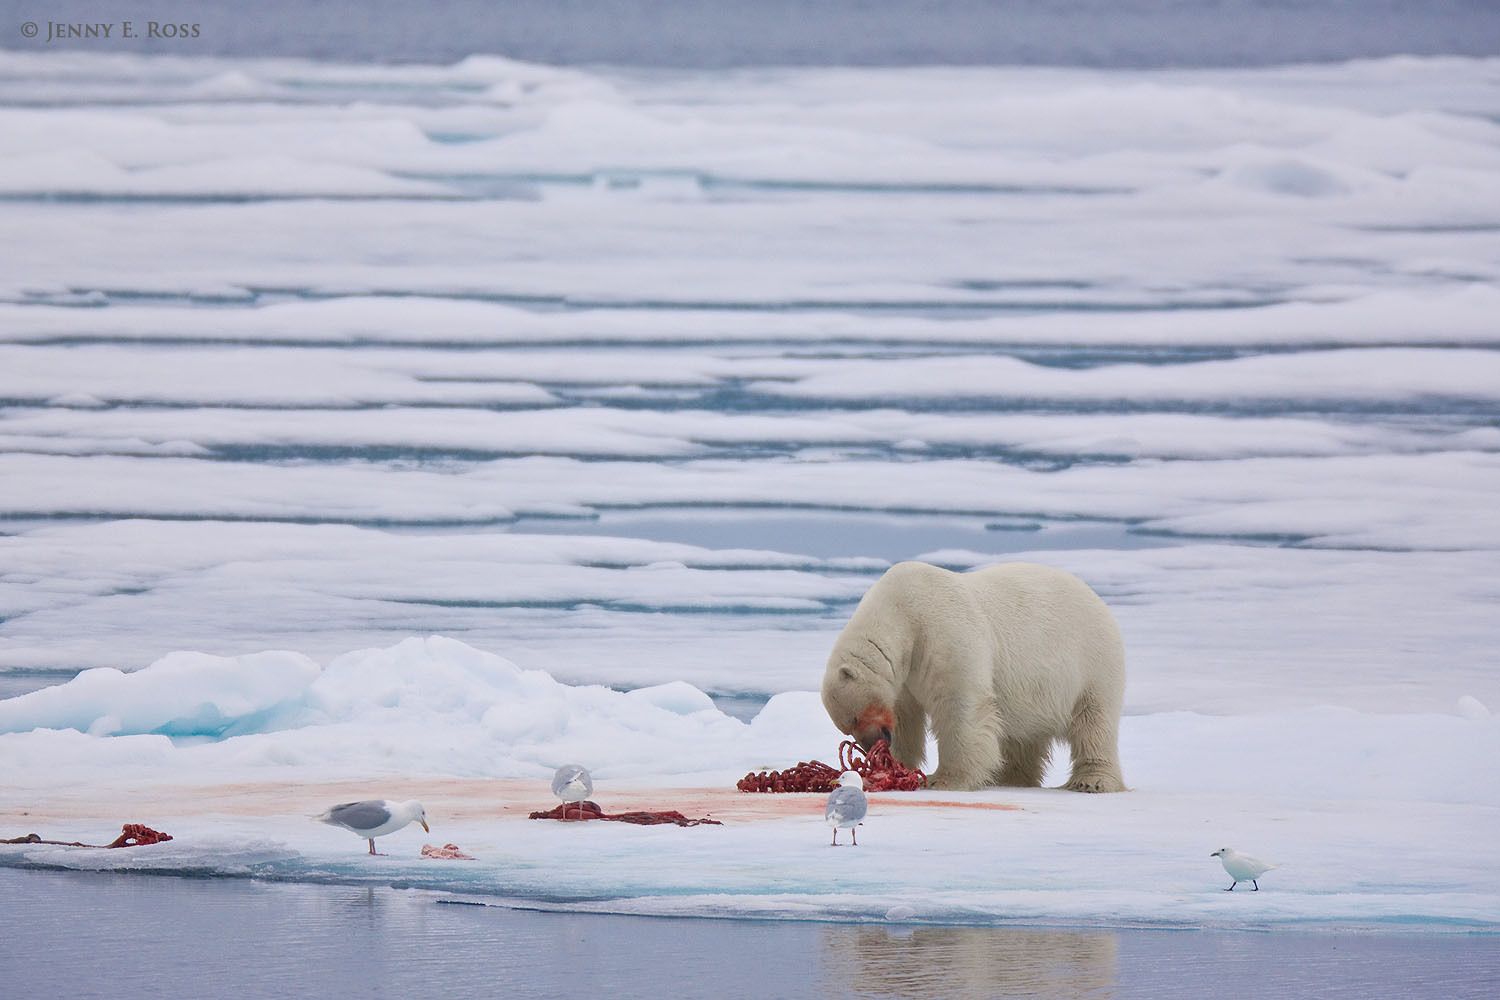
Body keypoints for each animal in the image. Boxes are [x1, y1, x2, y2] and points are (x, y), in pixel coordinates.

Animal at [820, 560, 1126, 792]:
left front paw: (944, 780)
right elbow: (907, 717)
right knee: (1023, 735)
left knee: (1093, 722)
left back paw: (1092, 781)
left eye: (854, 718)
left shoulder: (944, 634)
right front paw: (895, 765)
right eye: (847, 727)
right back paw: (1009, 778)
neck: (902, 611)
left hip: (1091, 662)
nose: (872, 744)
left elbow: (960, 705)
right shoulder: (906, 677)